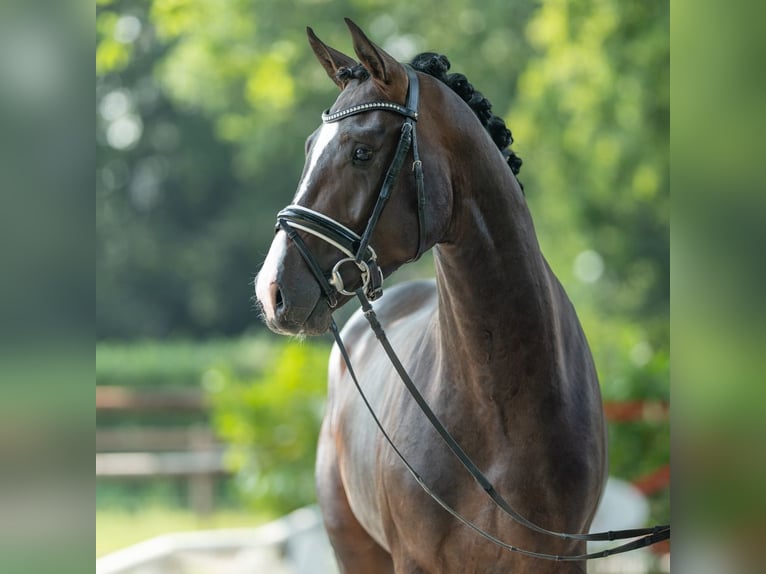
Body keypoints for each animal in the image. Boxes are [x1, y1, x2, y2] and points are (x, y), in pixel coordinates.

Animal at [255, 19, 608, 574]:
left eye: (361, 152)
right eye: (311, 147)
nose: (272, 291)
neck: (499, 403)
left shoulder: (563, 556)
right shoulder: (416, 560)